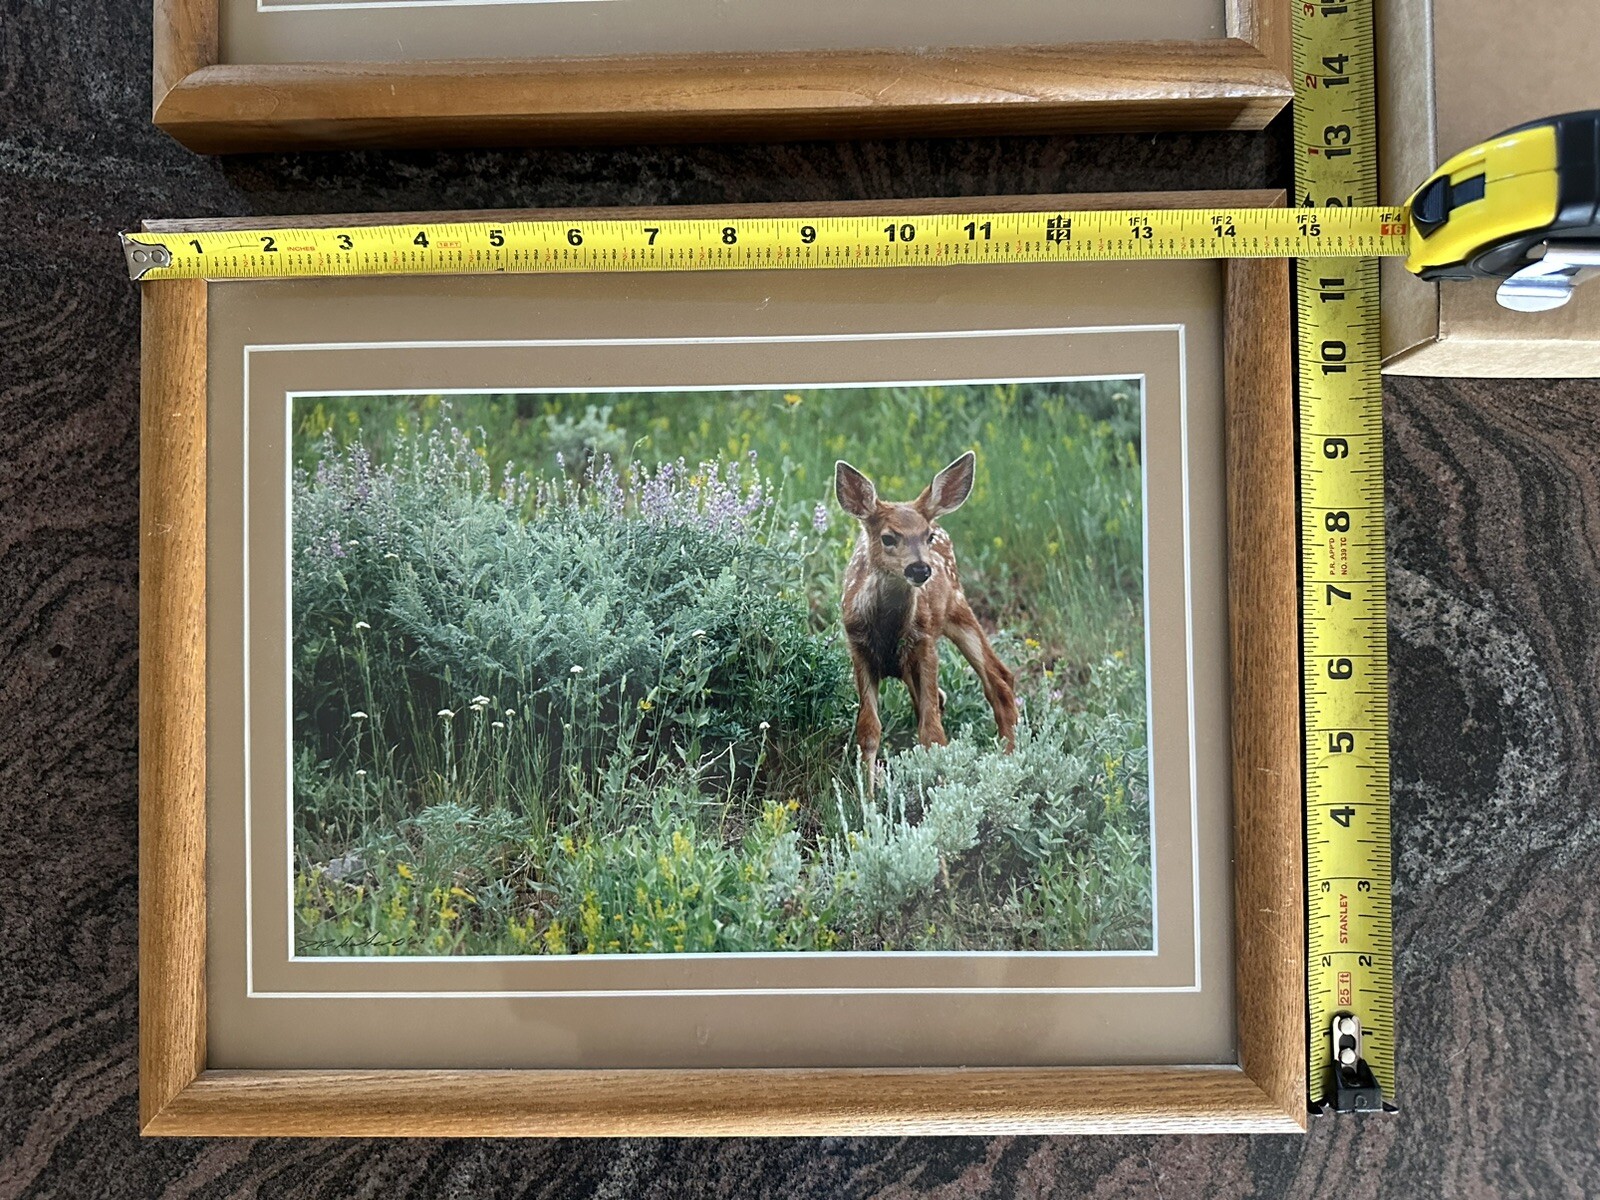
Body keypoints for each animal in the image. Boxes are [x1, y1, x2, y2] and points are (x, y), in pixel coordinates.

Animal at [835, 451, 1018, 787]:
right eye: (888, 538)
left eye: (927, 536)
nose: (920, 568)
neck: (888, 629)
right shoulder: (859, 650)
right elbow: (869, 730)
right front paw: (867, 795)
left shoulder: (925, 644)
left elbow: (932, 734)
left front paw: (942, 789)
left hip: (957, 607)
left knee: (999, 678)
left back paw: (1009, 762)